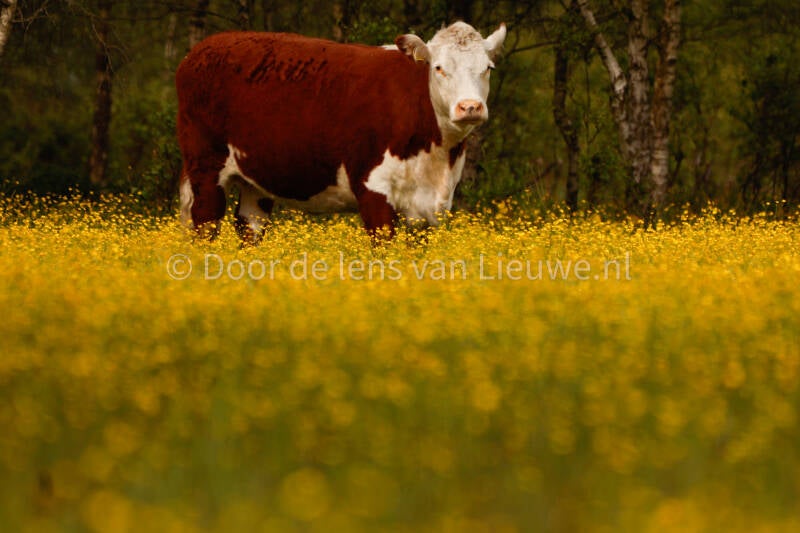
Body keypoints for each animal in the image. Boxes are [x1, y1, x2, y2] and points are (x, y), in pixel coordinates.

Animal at [176, 21, 506, 242]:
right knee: (205, 226)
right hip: (205, 168)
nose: (470, 106)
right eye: (438, 67)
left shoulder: (429, 210)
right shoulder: (374, 189)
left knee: (249, 227)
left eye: (488, 68)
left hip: (256, 180)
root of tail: (201, 49)